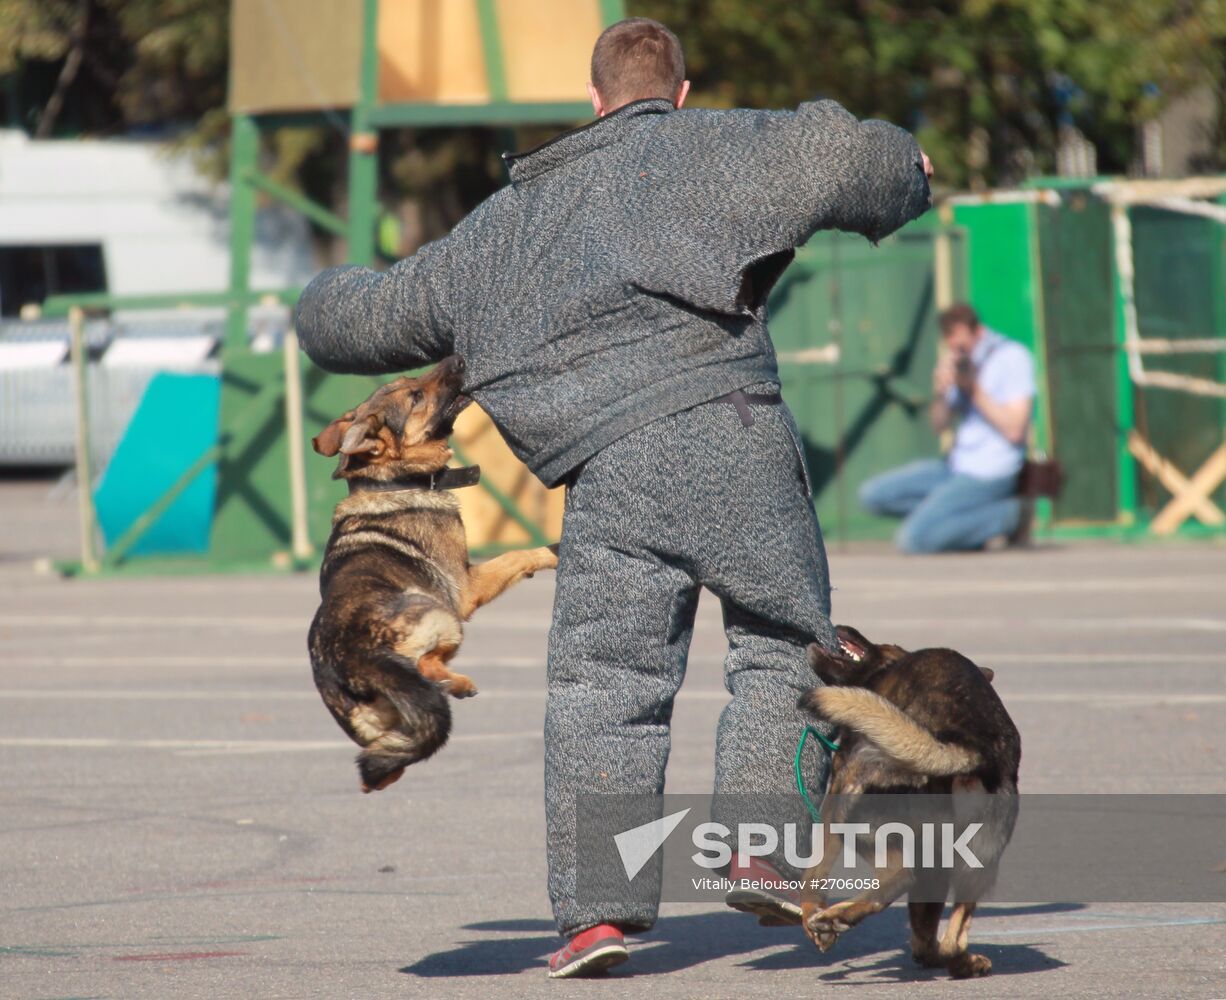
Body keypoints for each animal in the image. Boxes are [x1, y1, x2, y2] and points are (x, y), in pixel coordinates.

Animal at [308, 355, 559, 794]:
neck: (392, 481)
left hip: (381, 730)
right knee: (426, 666)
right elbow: (516, 556)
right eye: (416, 396)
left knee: (387, 762)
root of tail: (356, 658)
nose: (457, 357)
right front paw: (554, 550)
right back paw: (454, 683)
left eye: (412, 380)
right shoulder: (467, 588)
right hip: (442, 614)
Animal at [799, 625, 1020, 975]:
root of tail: (971, 747)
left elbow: (814, 873)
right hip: (974, 864)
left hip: (853, 816)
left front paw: (813, 917)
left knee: (897, 876)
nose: (841, 627)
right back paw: (963, 963)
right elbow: (924, 924)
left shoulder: (837, 792)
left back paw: (835, 917)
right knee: (952, 938)